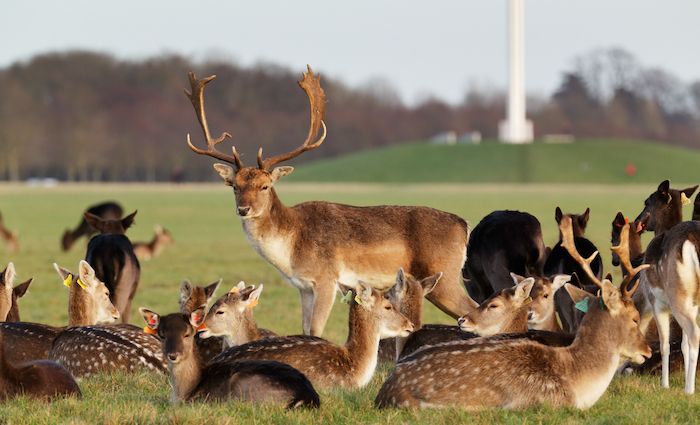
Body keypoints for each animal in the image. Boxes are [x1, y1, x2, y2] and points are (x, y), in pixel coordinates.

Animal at [140, 304, 320, 408]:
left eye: (187, 334)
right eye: (162, 335)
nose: (173, 355)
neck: (184, 392)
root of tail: (307, 397)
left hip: (242, 384)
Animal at [183, 65, 474, 334]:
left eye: (265, 186)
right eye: (234, 186)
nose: (244, 209)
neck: (291, 248)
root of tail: (464, 225)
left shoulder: (326, 278)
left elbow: (315, 330)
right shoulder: (303, 287)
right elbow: (304, 329)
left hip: (445, 276)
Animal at [632, 178, 700, 390]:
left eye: (647, 202)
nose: (636, 222)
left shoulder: (656, 301)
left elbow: (665, 344)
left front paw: (665, 385)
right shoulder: (693, 304)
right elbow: (683, 346)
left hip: (677, 294)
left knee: (695, 334)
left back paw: (689, 389)